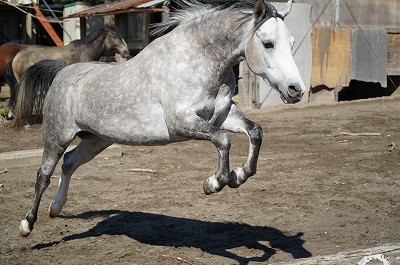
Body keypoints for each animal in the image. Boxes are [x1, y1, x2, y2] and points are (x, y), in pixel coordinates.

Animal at [18, 0, 304, 235]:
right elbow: (223, 141)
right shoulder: (181, 123)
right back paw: (27, 224)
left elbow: (255, 132)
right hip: (57, 137)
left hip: (96, 140)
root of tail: (63, 72)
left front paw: (240, 174)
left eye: (291, 43)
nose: (296, 90)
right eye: (268, 43)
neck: (197, 61)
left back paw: (56, 207)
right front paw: (214, 183)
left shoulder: (222, 115)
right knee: (43, 174)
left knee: (69, 162)